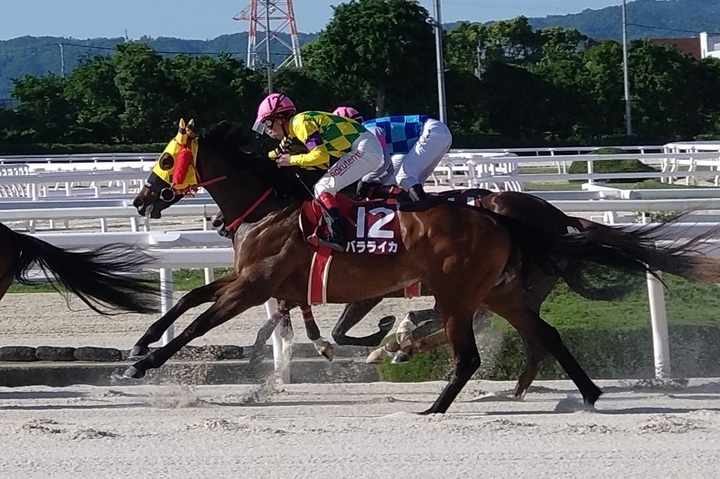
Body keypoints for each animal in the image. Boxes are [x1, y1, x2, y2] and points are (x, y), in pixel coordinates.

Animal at [127, 120, 720, 413]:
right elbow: (189, 301)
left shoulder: (255, 284)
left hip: (461, 290)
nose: (141, 201)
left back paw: (437, 398)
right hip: (500, 291)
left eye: (165, 158)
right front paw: (141, 345)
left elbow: (201, 323)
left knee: (476, 348)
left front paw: (147, 364)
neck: (270, 206)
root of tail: (523, 217)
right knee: (542, 334)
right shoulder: (251, 279)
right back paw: (583, 394)